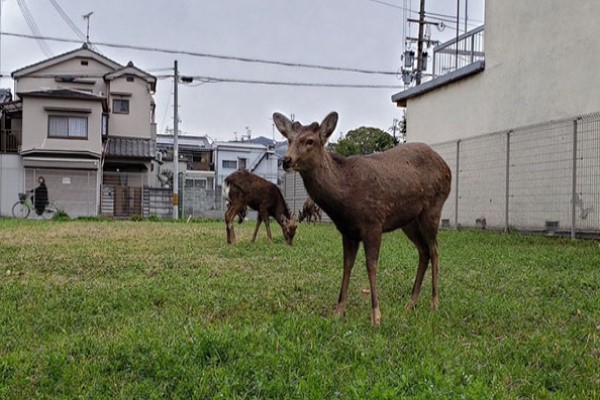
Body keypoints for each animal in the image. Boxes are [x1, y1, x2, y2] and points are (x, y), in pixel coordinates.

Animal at [272, 111, 450, 326]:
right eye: (289, 139)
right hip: (409, 221)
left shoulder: (373, 222)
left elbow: (371, 265)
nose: (286, 160)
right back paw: (410, 304)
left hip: (433, 208)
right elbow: (347, 265)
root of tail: (447, 169)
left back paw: (434, 303)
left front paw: (376, 316)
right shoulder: (347, 231)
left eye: (310, 141)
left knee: (435, 250)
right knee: (424, 251)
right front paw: (338, 311)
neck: (345, 196)